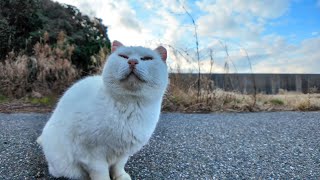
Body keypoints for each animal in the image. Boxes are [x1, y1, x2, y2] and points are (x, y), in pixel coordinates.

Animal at [36, 40, 169, 180]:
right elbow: (101, 172)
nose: (132, 61)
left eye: (147, 59)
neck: (130, 106)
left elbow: (119, 166)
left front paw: (121, 176)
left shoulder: (124, 152)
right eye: (123, 56)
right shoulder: (91, 154)